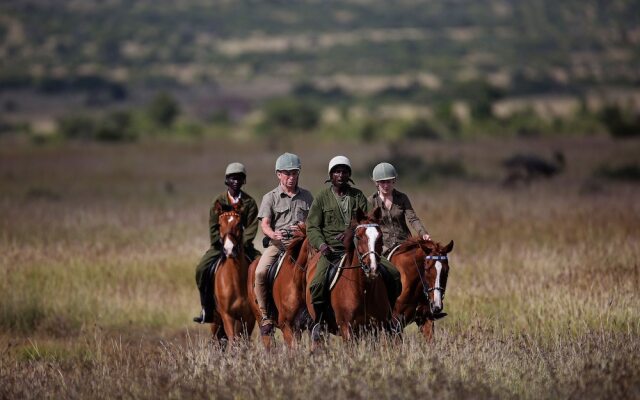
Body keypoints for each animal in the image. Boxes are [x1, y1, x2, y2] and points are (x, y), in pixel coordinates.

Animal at [212, 202, 258, 346]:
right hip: (216, 320)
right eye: (219, 225)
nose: (229, 249)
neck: (235, 280)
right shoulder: (227, 316)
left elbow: (245, 341)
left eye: (238, 224)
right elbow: (232, 341)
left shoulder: (249, 317)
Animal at [304, 206, 390, 350]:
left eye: (380, 236)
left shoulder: (375, 327)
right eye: (358, 236)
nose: (372, 268)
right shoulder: (346, 327)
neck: (362, 290)